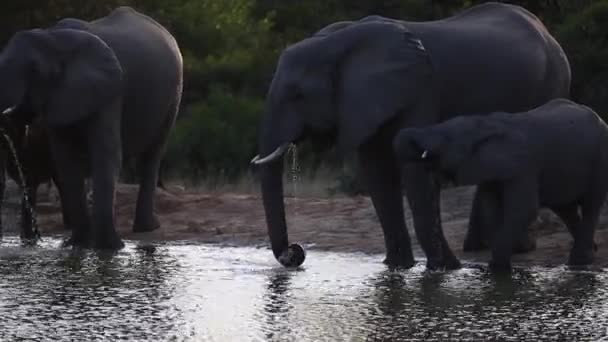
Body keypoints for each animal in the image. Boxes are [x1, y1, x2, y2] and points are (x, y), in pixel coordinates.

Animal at [0, 6, 183, 250]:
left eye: (34, 70)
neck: (53, 39)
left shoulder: (110, 90)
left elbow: (106, 154)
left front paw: (110, 249)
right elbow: (66, 162)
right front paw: (77, 245)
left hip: (173, 96)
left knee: (151, 156)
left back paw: (147, 228)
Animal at [251, 2, 568, 270]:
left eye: (298, 95)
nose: (295, 252)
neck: (337, 43)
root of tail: (545, 29)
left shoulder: (420, 89)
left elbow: (416, 170)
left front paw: (444, 270)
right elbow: (377, 173)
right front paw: (396, 268)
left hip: (552, 82)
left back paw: (513, 249)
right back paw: (488, 247)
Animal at [394, 98, 608, 270]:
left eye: (445, 140)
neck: (483, 124)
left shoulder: (524, 165)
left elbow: (523, 210)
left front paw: (497, 271)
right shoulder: (490, 170)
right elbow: (490, 209)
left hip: (600, 156)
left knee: (591, 204)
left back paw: (579, 263)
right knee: (565, 208)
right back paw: (590, 251)